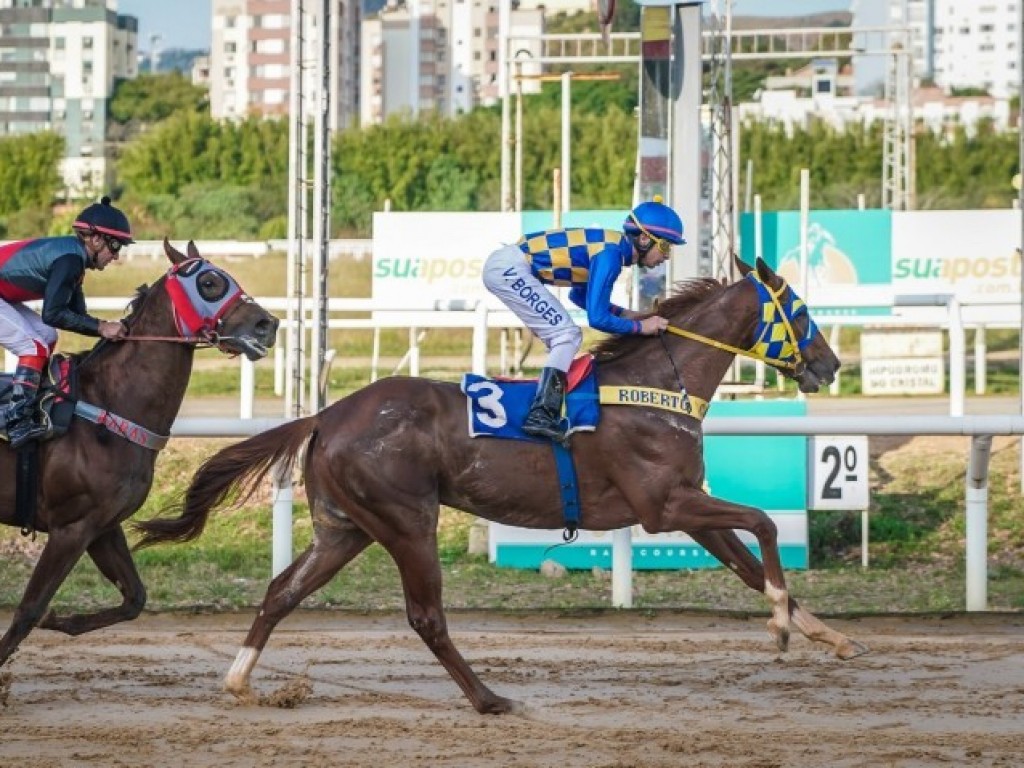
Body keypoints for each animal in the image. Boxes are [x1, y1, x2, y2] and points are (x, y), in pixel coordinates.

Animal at [0, 240, 280, 671]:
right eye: (210, 282)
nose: (268, 324)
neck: (107, 405)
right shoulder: (70, 528)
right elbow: (28, 610)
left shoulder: (101, 526)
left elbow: (134, 598)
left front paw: (61, 620)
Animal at [136, 257, 868, 716]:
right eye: (798, 310)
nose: (830, 364)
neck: (659, 385)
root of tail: (327, 413)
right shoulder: (664, 506)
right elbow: (765, 523)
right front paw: (781, 628)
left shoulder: (685, 508)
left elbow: (749, 560)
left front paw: (826, 634)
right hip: (407, 521)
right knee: (426, 616)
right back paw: (489, 699)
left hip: (344, 530)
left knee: (281, 592)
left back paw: (239, 682)